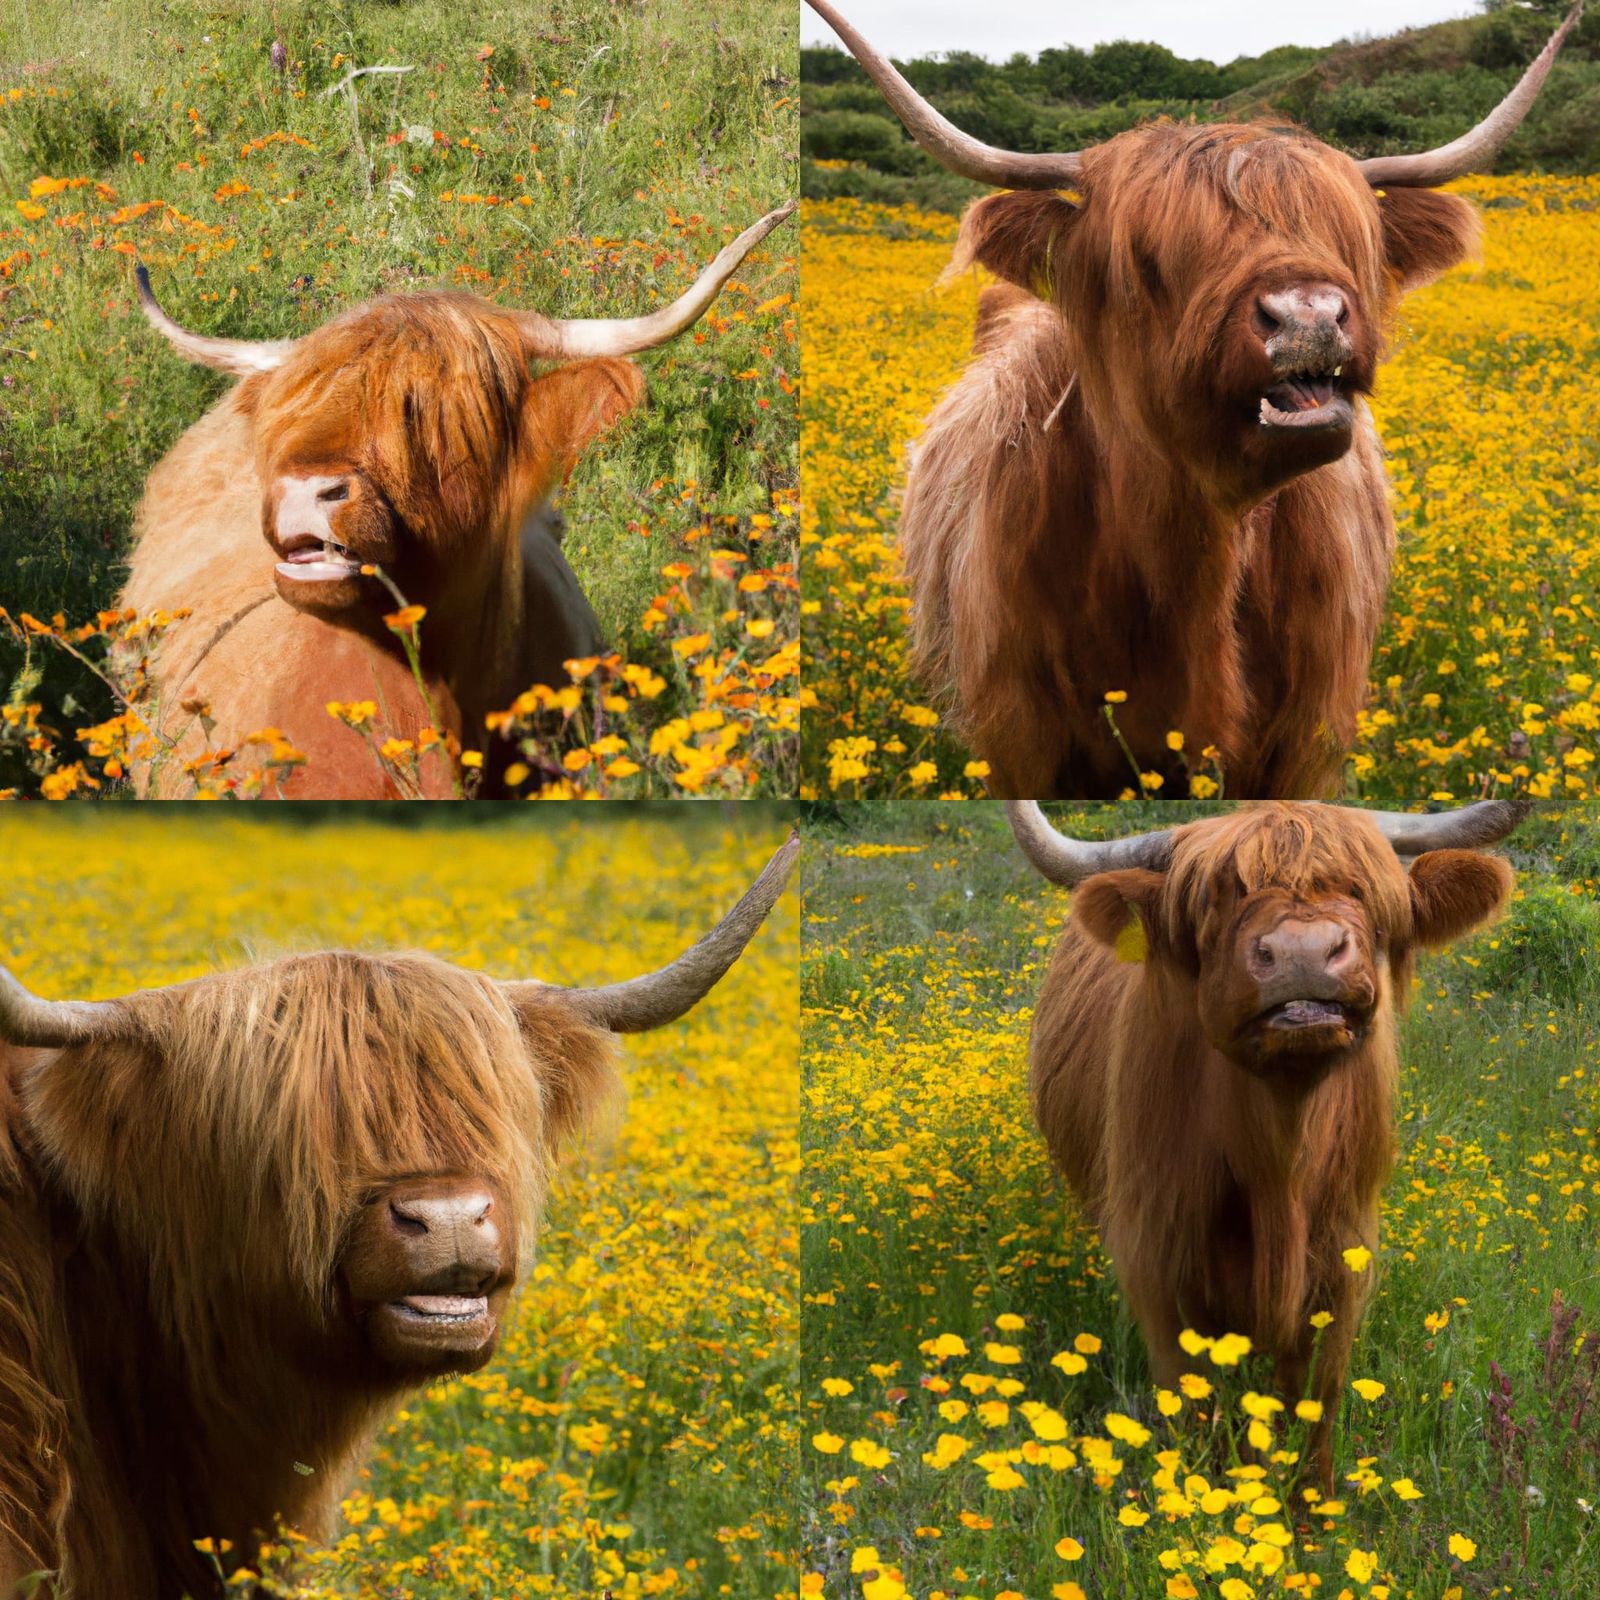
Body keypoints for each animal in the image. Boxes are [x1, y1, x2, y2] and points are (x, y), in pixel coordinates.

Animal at [1004, 798, 1525, 1489]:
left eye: (1362, 888)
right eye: (1217, 896)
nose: (1305, 952)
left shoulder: (1342, 1261)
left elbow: (1315, 1409)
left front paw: (1309, 1505)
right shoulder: (1158, 1259)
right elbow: (1192, 1406)